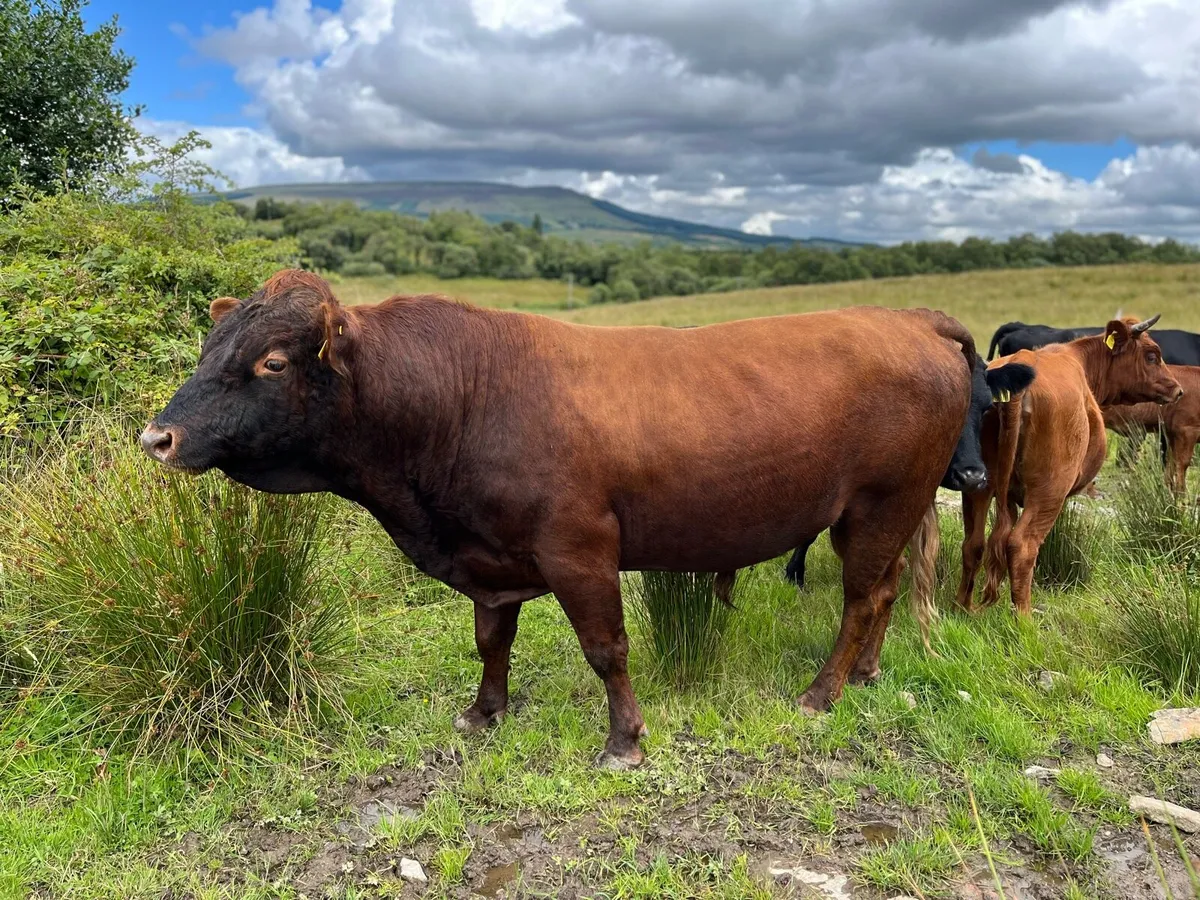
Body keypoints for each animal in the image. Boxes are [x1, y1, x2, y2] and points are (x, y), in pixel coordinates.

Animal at [141, 270, 975, 769]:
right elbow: (490, 641)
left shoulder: (580, 548)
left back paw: (822, 692)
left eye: (272, 362)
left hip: (881, 504)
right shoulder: (490, 561)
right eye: (209, 347)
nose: (158, 437)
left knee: (861, 597)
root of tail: (909, 318)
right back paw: (864, 675)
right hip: (884, 515)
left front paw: (624, 741)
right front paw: (484, 712)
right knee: (884, 591)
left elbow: (606, 649)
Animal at [957, 316, 1183, 615]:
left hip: (979, 486)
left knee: (974, 543)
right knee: (1022, 546)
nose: (1178, 389)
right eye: (1152, 356)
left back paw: (961, 607)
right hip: (1048, 493)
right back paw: (1025, 619)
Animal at [1103, 364, 1200, 493]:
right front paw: (1181, 495)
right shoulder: (1187, 429)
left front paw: (1169, 492)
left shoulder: (1171, 433)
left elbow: (1170, 463)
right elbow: (1182, 464)